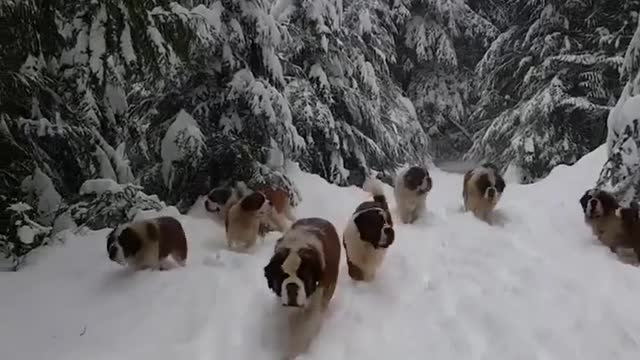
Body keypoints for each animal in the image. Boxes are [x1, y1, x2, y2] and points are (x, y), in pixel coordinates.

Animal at [262, 218, 340, 358]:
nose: (292, 286)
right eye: (282, 276)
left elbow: (305, 329)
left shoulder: (316, 300)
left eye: (304, 276)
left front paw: (295, 352)